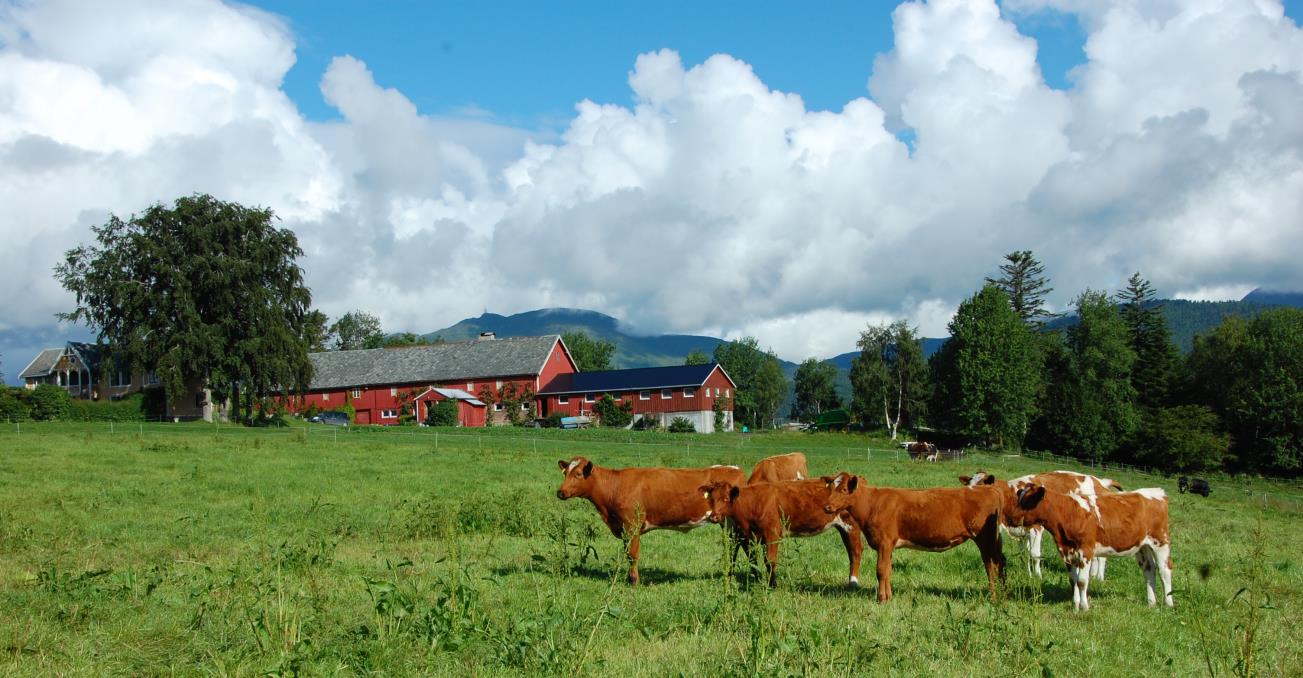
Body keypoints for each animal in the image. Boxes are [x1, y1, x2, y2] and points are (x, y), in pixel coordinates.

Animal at [555, 458, 750, 584]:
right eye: (565, 473)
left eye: (578, 474)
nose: (560, 492)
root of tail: (735, 469)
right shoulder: (624, 528)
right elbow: (627, 553)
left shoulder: (632, 525)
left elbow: (632, 555)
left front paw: (634, 582)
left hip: (730, 522)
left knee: (734, 546)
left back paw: (730, 574)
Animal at [698, 477, 859, 586]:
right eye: (712, 499)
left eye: (726, 498)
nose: (713, 517)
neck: (753, 502)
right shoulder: (749, 536)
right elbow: (753, 559)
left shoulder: (772, 533)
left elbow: (770, 560)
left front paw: (772, 584)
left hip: (851, 526)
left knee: (856, 551)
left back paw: (853, 582)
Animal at [818, 474, 1000, 602]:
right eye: (831, 488)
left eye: (843, 489)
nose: (826, 507)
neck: (872, 504)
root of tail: (985, 489)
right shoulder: (889, 545)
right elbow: (888, 570)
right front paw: (889, 597)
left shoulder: (884, 542)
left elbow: (881, 570)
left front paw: (881, 599)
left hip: (985, 538)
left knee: (991, 566)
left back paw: (993, 597)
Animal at [964, 471, 1125, 576]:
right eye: (969, 484)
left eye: (980, 485)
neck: (1012, 495)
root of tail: (1100, 482)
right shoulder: (1021, 531)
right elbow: (1024, 554)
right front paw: (1028, 574)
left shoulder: (1036, 528)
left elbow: (1035, 554)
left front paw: (1037, 576)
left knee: (1102, 557)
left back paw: (1098, 578)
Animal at [1000, 482, 1177, 610]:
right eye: (1019, 497)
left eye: (1028, 501)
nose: (1009, 517)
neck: (1069, 513)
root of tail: (1157, 492)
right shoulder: (1068, 552)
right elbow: (1073, 580)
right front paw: (1075, 604)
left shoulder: (1086, 551)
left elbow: (1082, 581)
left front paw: (1084, 607)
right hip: (1142, 546)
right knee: (1149, 570)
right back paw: (1151, 602)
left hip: (1160, 542)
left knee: (1164, 570)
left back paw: (1168, 603)